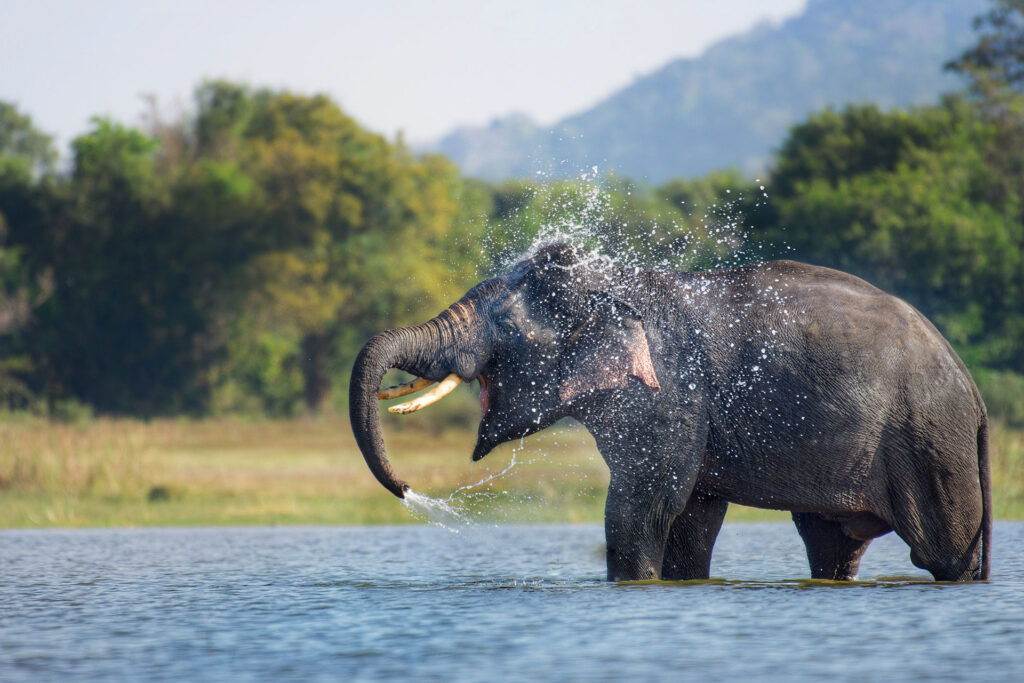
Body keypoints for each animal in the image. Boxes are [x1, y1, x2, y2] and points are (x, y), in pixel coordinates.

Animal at [348, 244, 987, 581]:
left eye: (503, 325)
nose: (407, 489)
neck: (614, 283)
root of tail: (974, 394)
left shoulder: (670, 392)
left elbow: (643, 505)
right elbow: (690, 519)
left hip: (929, 440)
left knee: (944, 548)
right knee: (830, 543)